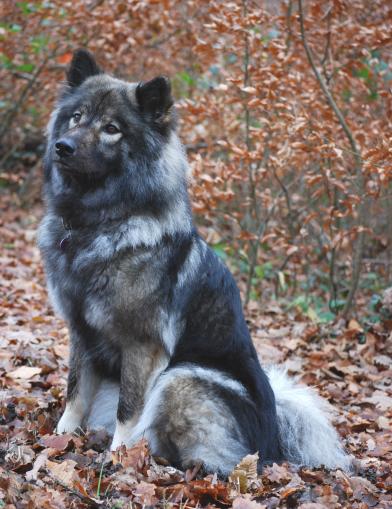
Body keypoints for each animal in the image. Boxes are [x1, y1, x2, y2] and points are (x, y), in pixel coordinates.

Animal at [38, 49, 350, 474]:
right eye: (76, 117)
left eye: (112, 128)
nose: (63, 147)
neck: (98, 223)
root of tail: (274, 443)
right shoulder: (81, 333)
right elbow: (75, 393)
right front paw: (61, 438)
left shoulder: (142, 346)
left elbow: (128, 410)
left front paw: (119, 458)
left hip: (183, 376)